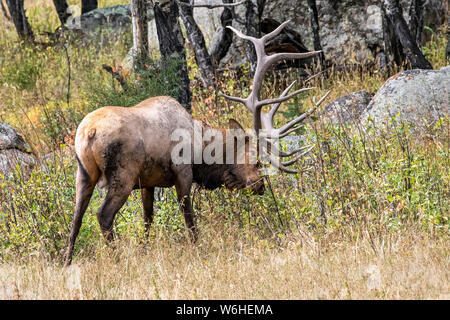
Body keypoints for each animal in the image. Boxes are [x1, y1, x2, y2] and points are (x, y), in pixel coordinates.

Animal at [64, 20, 330, 264]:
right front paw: (197, 248)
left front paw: (145, 249)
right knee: (103, 215)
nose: (260, 186)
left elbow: (148, 219)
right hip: (123, 174)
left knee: (76, 218)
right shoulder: (182, 172)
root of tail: (89, 132)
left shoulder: (147, 182)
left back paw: (67, 260)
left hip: (84, 174)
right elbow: (189, 217)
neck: (201, 149)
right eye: (255, 161)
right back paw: (116, 257)